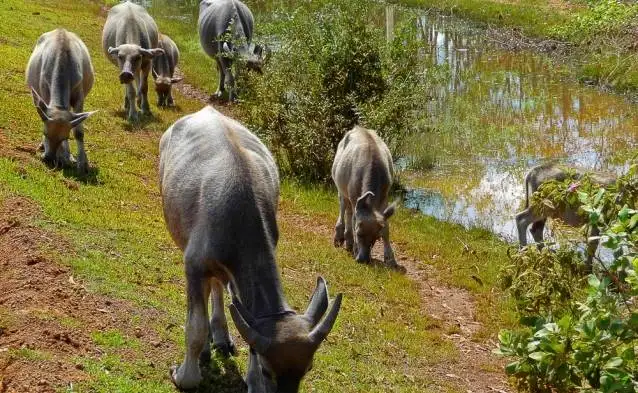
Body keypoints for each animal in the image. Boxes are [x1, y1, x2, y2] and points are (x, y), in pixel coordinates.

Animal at [25, 28, 96, 174]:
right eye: (45, 133)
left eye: (65, 137)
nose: (48, 158)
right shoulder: (45, 94)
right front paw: (63, 157)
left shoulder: (79, 97)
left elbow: (78, 131)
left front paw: (82, 163)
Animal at [160, 105, 344, 390]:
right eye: (268, 371)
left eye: (308, 369)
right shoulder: (193, 265)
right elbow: (195, 328)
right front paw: (184, 374)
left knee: (217, 284)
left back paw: (220, 337)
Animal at [332, 127, 398, 264]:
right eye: (359, 233)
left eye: (376, 237)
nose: (363, 259)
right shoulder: (353, 198)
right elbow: (353, 220)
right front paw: (354, 246)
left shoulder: (384, 199)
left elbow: (386, 228)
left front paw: (390, 258)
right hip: (341, 190)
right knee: (343, 209)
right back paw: (340, 238)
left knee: (348, 212)